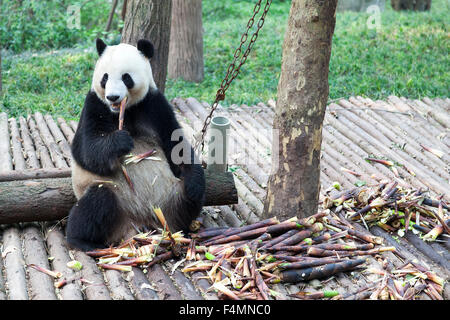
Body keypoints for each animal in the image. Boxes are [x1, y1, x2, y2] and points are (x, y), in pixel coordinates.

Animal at [66, 38, 206, 251]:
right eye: (105, 78)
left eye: (126, 77)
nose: (113, 97)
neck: (125, 110)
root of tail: (139, 224)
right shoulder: (94, 105)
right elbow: (85, 150)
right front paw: (120, 141)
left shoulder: (154, 105)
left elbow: (175, 143)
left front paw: (196, 180)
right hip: (114, 202)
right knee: (97, 202)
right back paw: (81, 240)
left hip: (169, 199)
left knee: (187, 200)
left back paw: (184, 227)